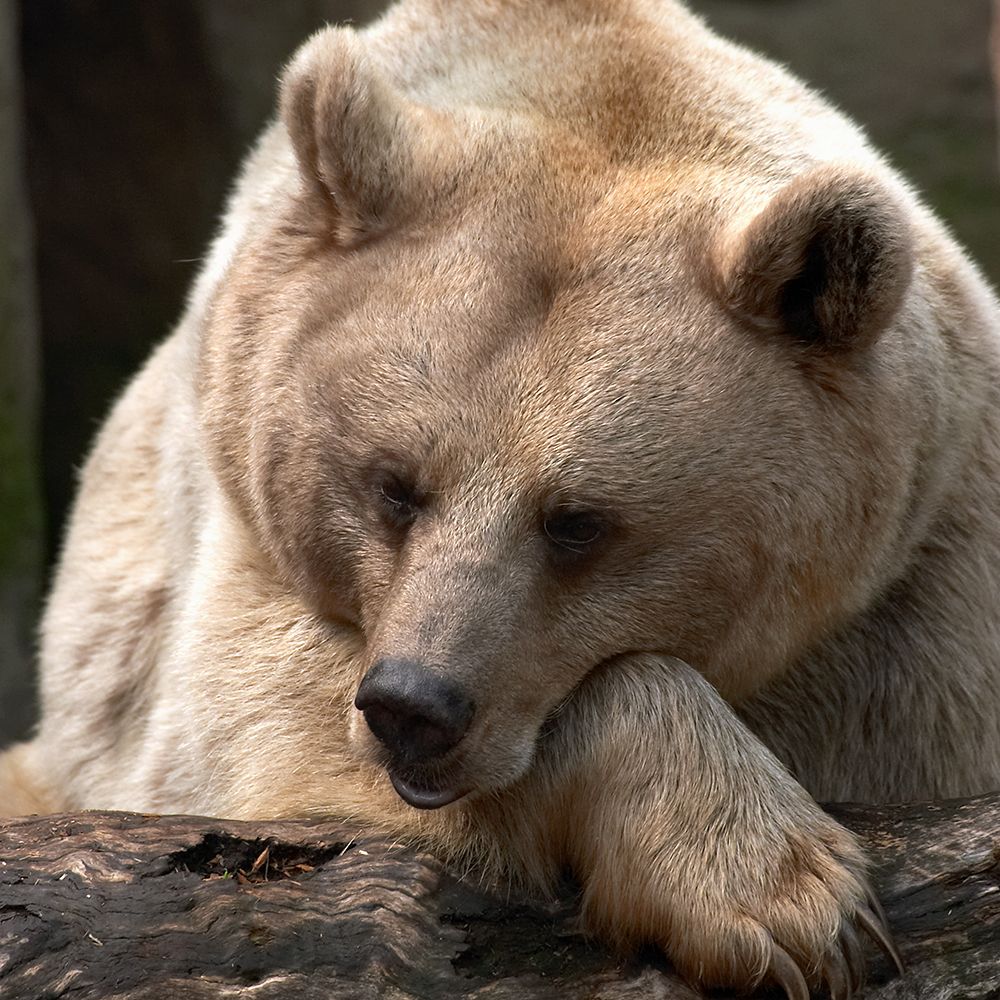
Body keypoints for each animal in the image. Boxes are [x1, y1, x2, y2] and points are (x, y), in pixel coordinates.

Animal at [3, 0, 1000, 994]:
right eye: (395, 486)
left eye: (577, 522)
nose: (414, 710)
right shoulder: (236, 561)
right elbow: (273, 753)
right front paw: (780, 897)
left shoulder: (916, 623)